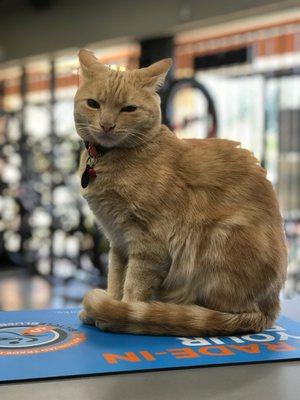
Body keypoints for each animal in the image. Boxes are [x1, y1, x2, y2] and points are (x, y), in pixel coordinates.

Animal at [74, 50, 288, 336]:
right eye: (93, 104)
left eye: (129, 109)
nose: (107, 125)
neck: (109, 160)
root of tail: (271, 309)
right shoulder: (118, 241)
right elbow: (116, 279)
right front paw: (109, 303)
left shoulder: (148, 243)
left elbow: (134, 287)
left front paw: (121, 313)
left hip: (220, 239)